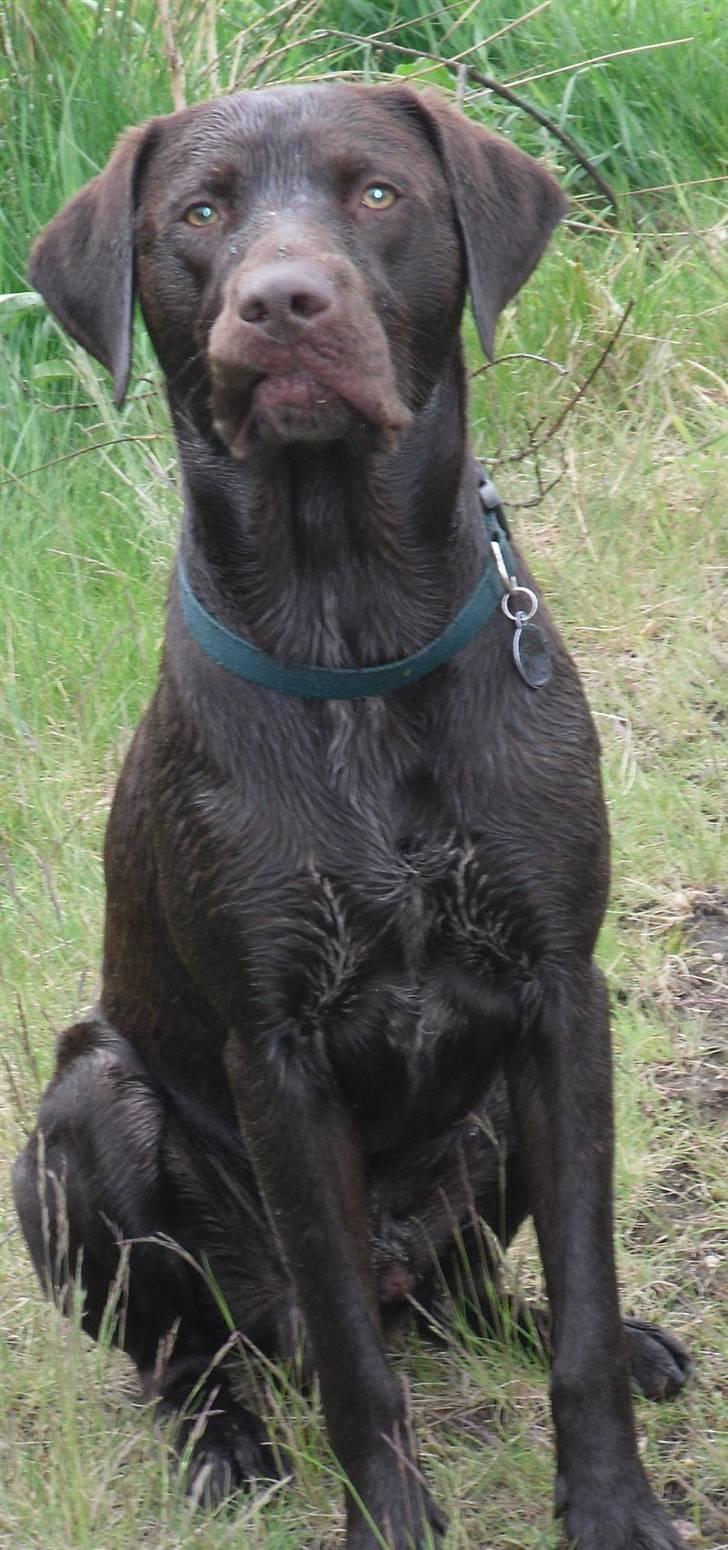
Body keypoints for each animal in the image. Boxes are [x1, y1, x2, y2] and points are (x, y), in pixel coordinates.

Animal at [15, 87, 687, 1550]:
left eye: (375, 194)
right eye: (200, 212)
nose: (281, 302)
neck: (352, 628)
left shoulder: (561, 1001)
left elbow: (585, 1307)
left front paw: (613, 1503)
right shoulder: (279, 1053)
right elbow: (349, 1362)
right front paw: (386, 1519)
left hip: (486, 1133)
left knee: (478, 1300)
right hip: (88, 1112)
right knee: (198, 1349)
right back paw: (223, 1443)